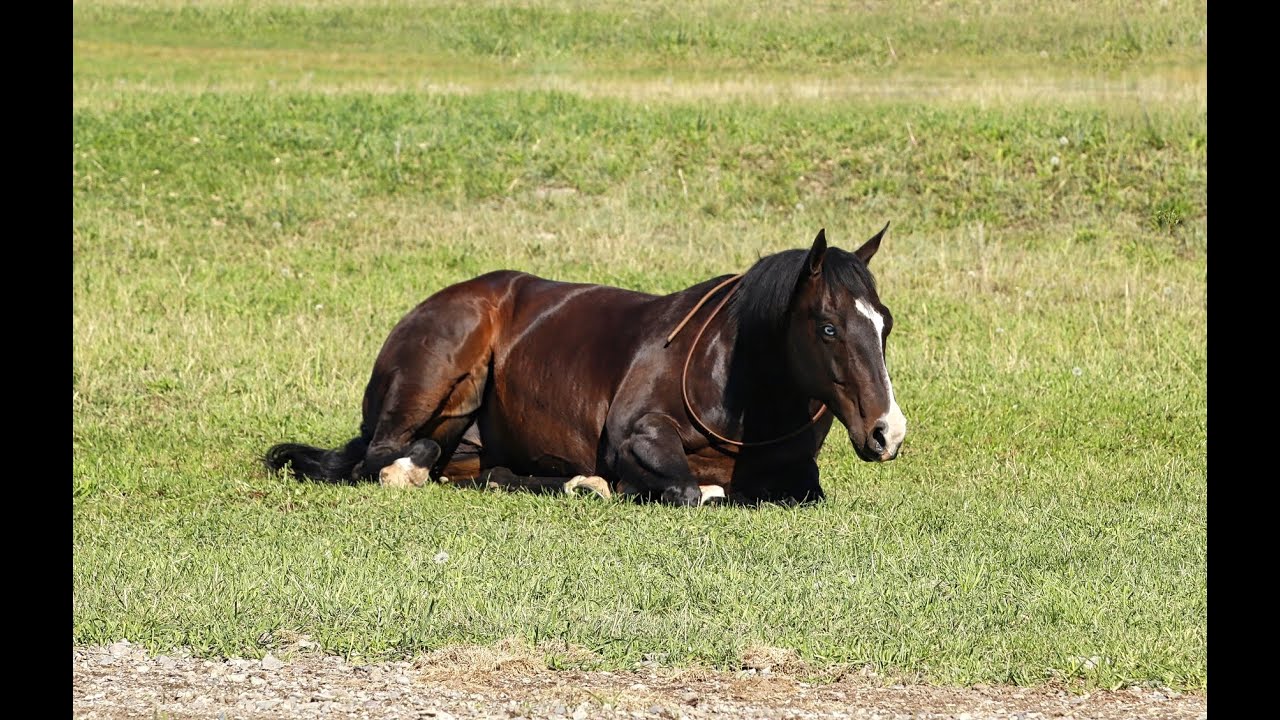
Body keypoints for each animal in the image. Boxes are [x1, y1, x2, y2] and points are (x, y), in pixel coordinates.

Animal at [264, 225, 906, 506]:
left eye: (886, 322)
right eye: (828, 327)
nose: (887, 433)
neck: (736, 379)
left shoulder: (799, 474)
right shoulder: (635, 437)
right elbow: (689, 489)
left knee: (482, 471)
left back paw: (577, 482)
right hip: (436, 380)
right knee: (380, 456)